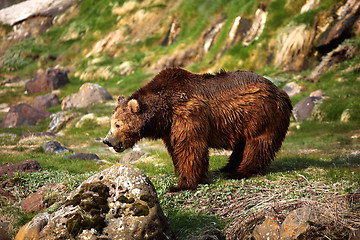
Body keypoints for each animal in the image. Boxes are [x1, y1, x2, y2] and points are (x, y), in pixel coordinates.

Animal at [102, 67, 292, 191]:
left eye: (117, 124)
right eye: (112, 123)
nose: (107, 140)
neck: (164, 111)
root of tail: (281, 92)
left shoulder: (188, 114)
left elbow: (190, 146)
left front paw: (181, 184)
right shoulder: (169, 127)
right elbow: (174, 147)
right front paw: (178, 171)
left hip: (260, 114)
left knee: (257, 143)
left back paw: (240, 172)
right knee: (242, 144)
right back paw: (226, 167)